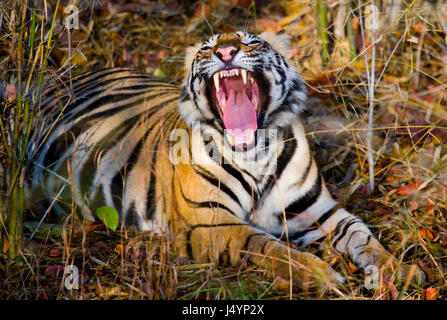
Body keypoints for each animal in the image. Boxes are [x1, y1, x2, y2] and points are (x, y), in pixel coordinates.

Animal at [21, 31, 428, 290]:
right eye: (208, 46)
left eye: (251, 41)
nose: (226, 53)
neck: (257, 153)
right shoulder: (210, 222)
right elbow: (265, 246)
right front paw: (321, 274)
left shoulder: (317, 210)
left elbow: (362, 235)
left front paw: (400, 271)